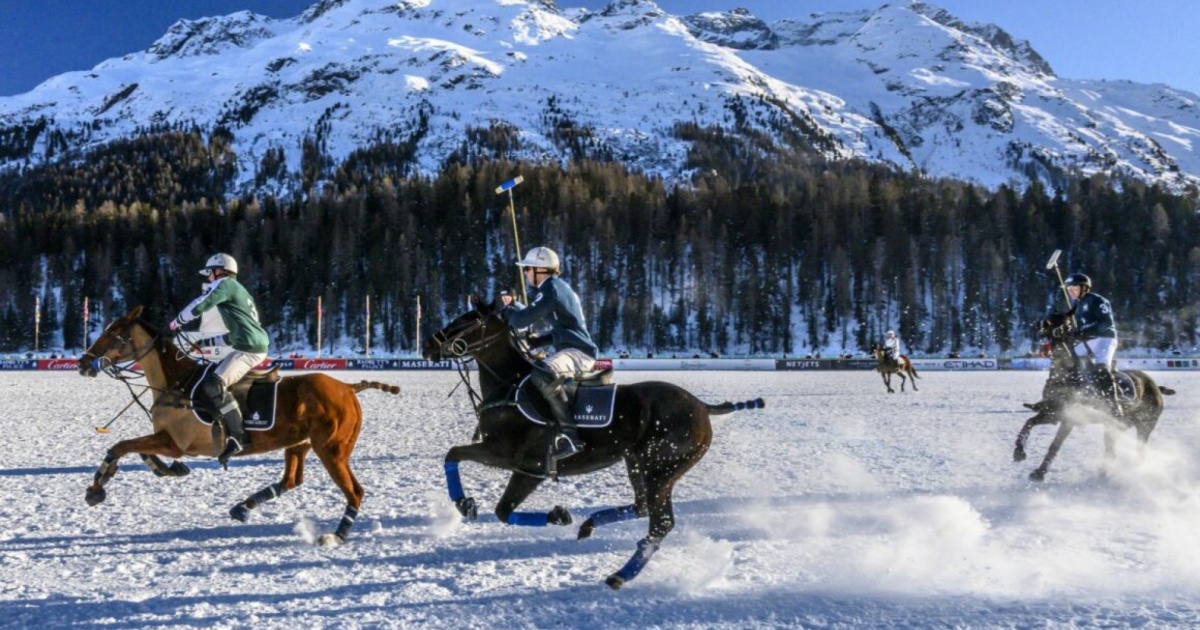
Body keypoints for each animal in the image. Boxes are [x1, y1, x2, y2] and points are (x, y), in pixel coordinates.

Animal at [77, 305, 400, 545]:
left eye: (113, 333)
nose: (82, 363)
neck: (176, 383)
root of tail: (348, 387)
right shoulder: (167, 439)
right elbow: (136, 449)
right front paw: (165, 469)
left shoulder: (177, 443)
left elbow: (121, 445)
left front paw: (96, 488)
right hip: (299, 444)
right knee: (291, 480)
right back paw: (242, 507)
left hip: (332, 449)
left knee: (354, 491)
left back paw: (336, 536)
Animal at [422, 297, 764, 589]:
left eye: (467, 320)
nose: (427, 344)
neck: (509, 388)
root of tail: (703, 407)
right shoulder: (505, 456)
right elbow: (454, 456)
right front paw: (467, 503)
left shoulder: (524, 464)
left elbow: (501, 508)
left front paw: (555, 514)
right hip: (638, 462)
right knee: (642, 506)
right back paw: (590, 525)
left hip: (662, 468)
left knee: (660, 523)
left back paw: (620, 575)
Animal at [1013, 311, 1174, 482]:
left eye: (1063, 320)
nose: (1041, 324)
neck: (1065, 375)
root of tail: (1157, 387)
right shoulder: (1054, 413)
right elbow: (1029, 422)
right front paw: (1020, 453)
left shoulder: (1069, 419)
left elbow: (1055, 444)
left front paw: (1039, 472)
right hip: (1118, 425)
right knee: (1111, 450)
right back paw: (1105, 471)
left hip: (1145, 425)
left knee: (1138, 449)